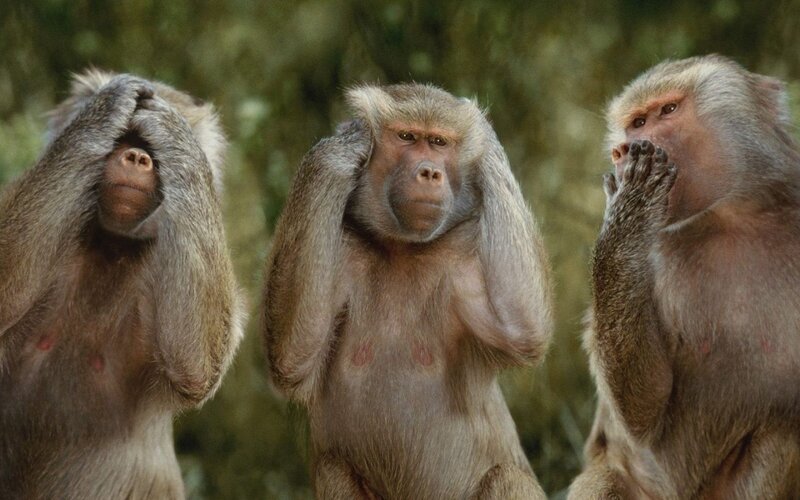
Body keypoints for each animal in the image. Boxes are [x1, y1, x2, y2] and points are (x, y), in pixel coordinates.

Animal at [0, 70, 244, 499]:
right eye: (123, 138)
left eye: (151, 149)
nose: (136, 157)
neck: (112, 246)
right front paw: (106, 107)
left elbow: (197, 364)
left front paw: (171, 128)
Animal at [262, 83, 553, 499]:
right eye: (407, 137)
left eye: (439, 142)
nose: (429, 171)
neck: (402, 249)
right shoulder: (343, 248)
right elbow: (292, 358)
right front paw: (341, 147)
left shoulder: (463, 255)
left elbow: (523, 330)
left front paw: (487, 142)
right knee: (333, 470)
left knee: (508, 478)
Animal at [568, 55, 800, 499]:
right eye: (636, 122)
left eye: (668, 111)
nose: (622, 149)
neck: (731, 218)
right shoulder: (654, 254)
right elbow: (644, 411)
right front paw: (629, 210)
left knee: (783, 430)